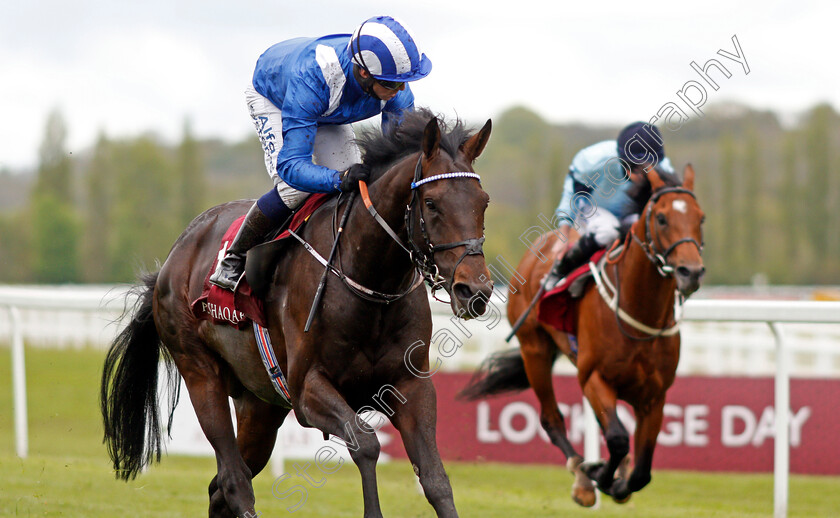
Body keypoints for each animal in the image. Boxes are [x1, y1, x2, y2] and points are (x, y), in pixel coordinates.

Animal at [100, 110, 492, 518]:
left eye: (483, 202)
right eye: (431, 203)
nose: (475, 290)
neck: (371, 284)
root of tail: (172, 259)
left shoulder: (410, 385)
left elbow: (434, 476)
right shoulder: (307, 390)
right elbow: (366, 442)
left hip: (260, 405)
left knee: (220, 488)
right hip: (200, 372)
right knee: (233, 479)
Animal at [462, 166, 704, 508]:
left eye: (701, 218)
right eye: (661, 218)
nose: (691, 272)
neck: (640, 312)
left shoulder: (655, 396)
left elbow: (642, 471)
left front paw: (618, 478)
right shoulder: (594, 377)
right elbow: (617, 439)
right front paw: (599, 475)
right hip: (534, 349)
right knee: (551, 418)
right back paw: (581, 475)